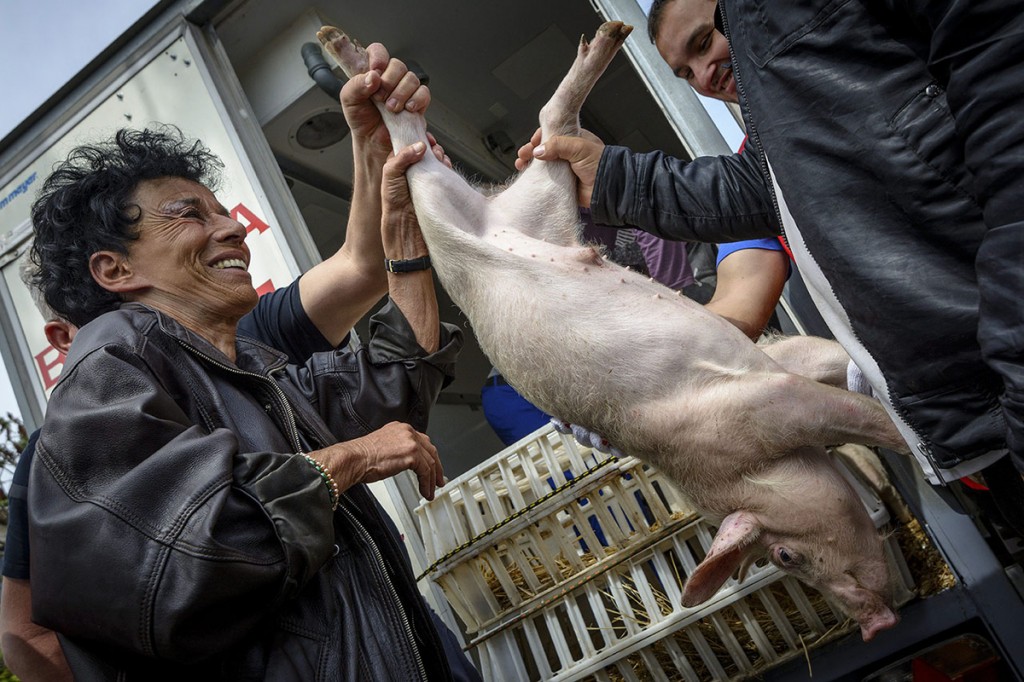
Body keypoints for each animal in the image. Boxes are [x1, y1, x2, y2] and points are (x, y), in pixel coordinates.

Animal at [315, 19, 909, 638]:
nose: (878, 624)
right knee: (516, 125)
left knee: (467, 136)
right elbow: (834, 381)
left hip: (503, 201)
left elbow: (855, 407)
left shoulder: (763, 396)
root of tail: (494, 214)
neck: (736, 467)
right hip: (511, 200)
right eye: (784, 559)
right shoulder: (766, 383)